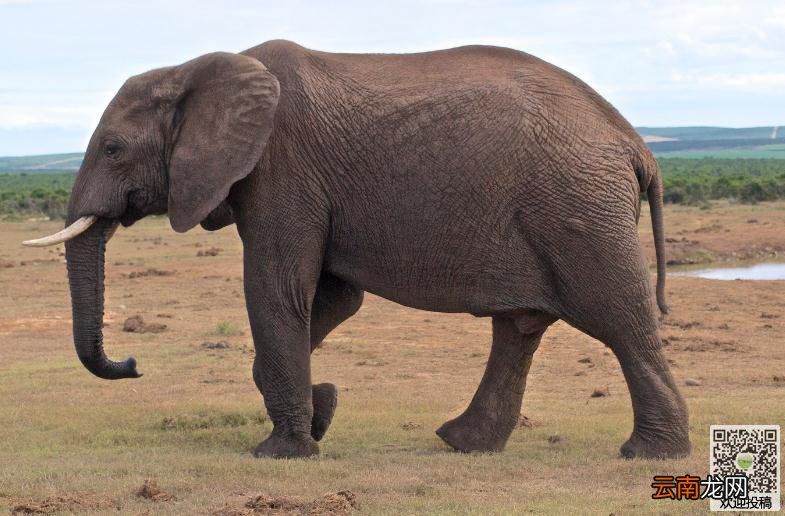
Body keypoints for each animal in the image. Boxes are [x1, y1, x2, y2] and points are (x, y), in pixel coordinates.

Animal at [24, 39, 690, 460]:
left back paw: (647, 454)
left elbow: (277, 290)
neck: (196, 69)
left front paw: (282, 452)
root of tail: (638, 145)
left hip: (577, 206)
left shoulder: (281, 169)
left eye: (113, 149)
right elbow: (333, 300)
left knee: (619, 319)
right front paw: (322, 412)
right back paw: (463, 443)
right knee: (520, 327)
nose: (134, 363)